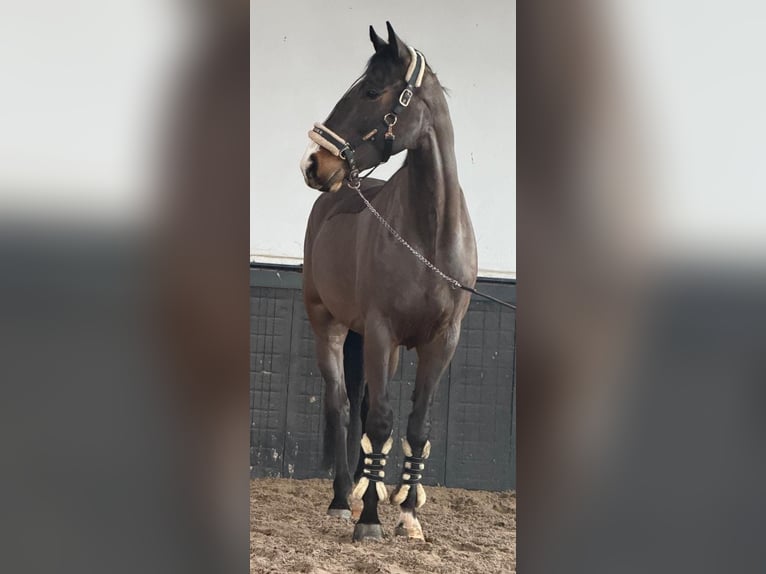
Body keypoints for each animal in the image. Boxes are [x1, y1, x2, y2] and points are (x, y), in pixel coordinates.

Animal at [299, 22, 478, 542]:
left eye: (371, 91)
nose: (313, 164)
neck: (430, 237)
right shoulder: (380, 331)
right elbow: (379, 422)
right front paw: (371, 520)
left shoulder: (441, 342)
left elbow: (416, 426)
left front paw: (408, 513)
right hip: (330, 326)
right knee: (342, 407)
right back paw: (344, 500)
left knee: (360, 407)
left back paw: (364, 489)